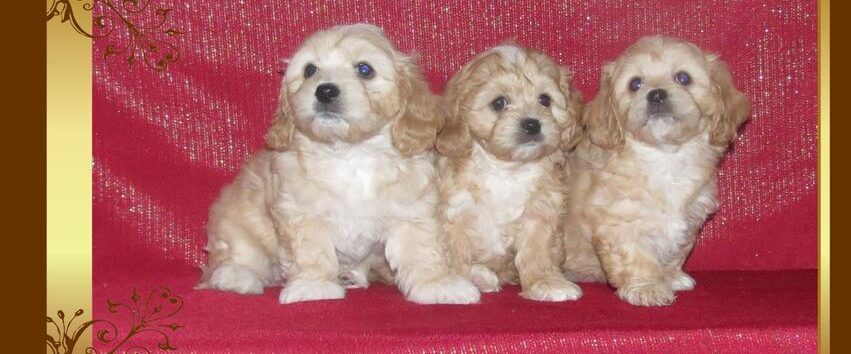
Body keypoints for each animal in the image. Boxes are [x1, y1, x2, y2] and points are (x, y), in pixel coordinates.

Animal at [196, 24, 482, 304]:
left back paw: (351, 275)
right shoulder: (301, 212)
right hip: (236, 222)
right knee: (235, 257)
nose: (325, 90)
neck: (351, 152)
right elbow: (311, 252)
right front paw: (313, 287)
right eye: (310, 70)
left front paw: (437, 285)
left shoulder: (411, 211)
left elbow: (422, 250)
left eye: (364, 69)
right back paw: (237, 277)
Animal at [440, 45, 584, 302]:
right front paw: (459, 283)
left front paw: (546, 283)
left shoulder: (540, 213)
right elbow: (456, 255)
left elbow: (537, 253)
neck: (508, 169)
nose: (532, 124)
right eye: (499, 103)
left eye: (545, 99)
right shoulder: (456, 212)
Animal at [564, 37, 752, 306]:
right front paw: (647, 287)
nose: (657, 94)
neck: (665, 157)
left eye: (683, 78)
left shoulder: (690, 218)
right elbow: (636, 256)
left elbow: (677, 251)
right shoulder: (618, 219)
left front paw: (671, 277)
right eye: (635, 84)